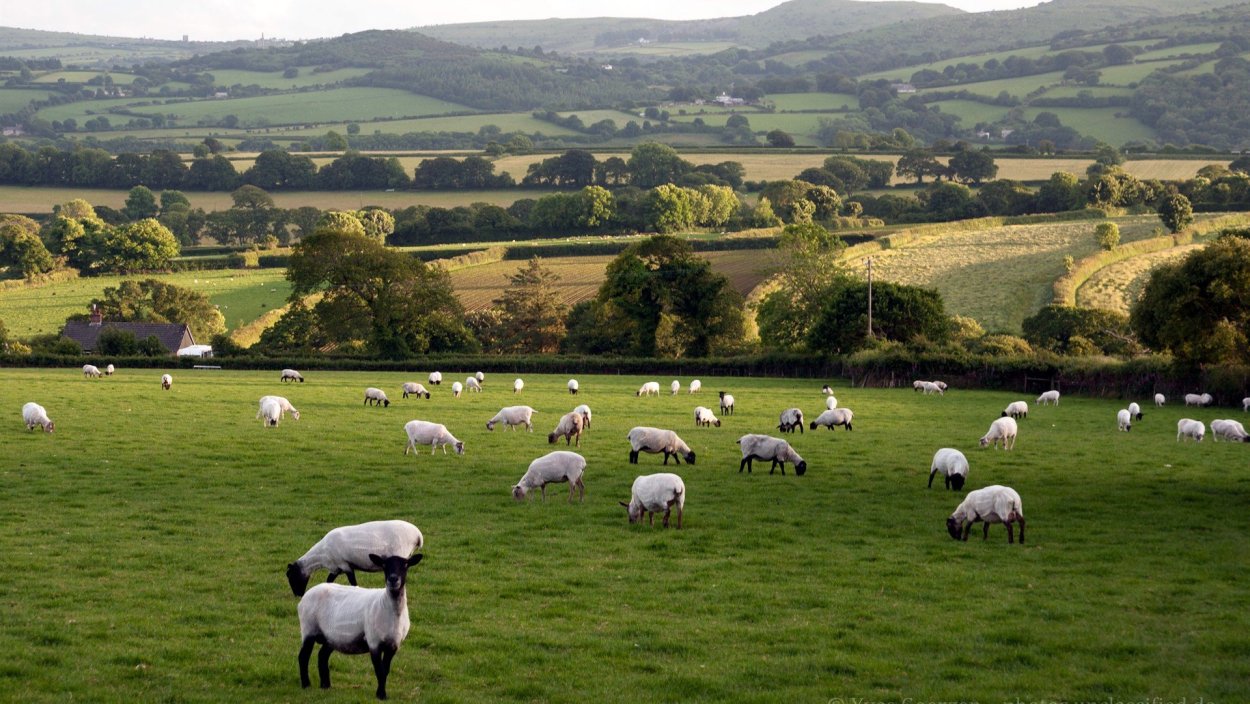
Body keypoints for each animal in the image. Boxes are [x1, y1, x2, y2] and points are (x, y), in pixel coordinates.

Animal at [285, 520, 425, 597]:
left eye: (291, 576)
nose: (298, 595)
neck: (321, 555)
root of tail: (418, 535)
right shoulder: (336, 568)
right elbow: (329, 581)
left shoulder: (345, 565)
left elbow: (353, 582)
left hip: (400, 555)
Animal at [297, 557, 425, 700]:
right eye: (384, 565)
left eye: (405, 565)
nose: (393, 579)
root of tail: (305, 595)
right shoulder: (374, 642)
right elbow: (379, 670)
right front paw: (380, 695)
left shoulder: (394, 644)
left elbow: (385, 670)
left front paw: (382, 694)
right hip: (308, 628)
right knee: (303, 657)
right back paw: (306, 685)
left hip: (331, 637)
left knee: (322, 656)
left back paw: (326, 686)